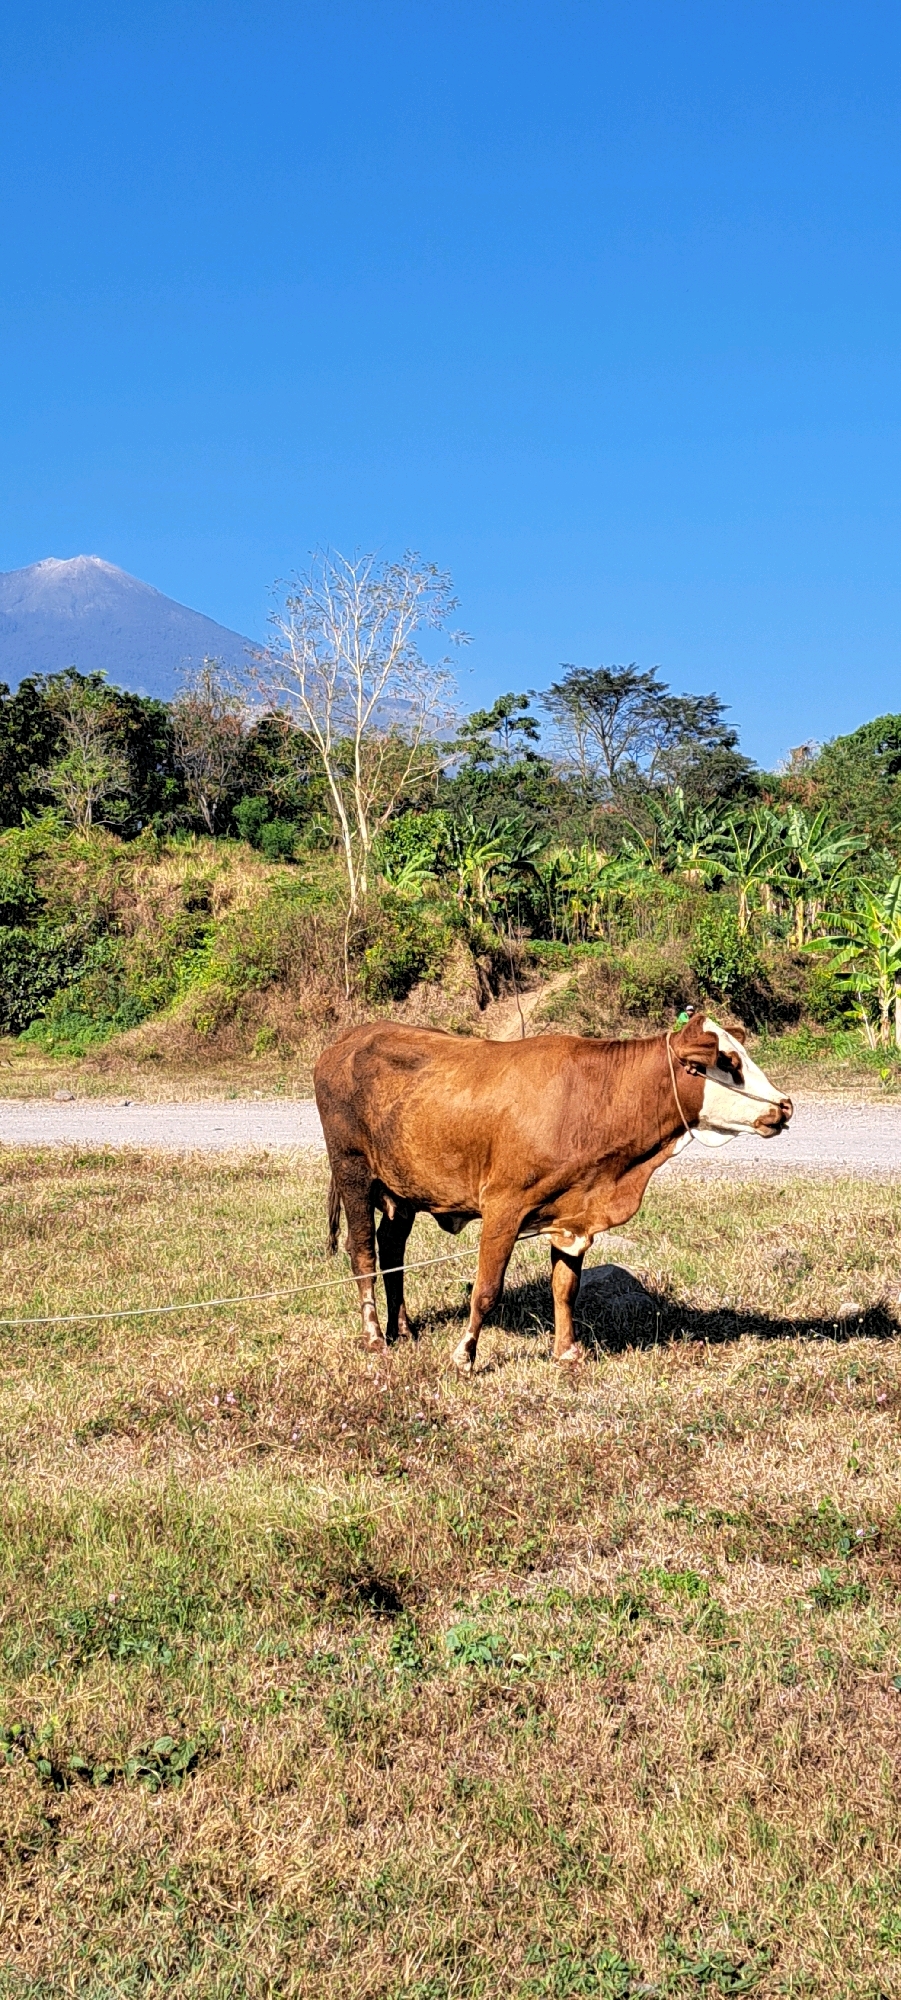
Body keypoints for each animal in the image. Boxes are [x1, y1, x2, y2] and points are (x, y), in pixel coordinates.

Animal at [313, 1014, 792, 1372]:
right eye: (728, 1061)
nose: (785, 1105)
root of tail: (346, 1041)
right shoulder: (503, 1206)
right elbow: (486, 1289)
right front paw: (464, 1357)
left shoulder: (574, 1218)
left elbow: (565, 1287)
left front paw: (566, 1351)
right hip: (353, 1170)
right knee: (363, 1252)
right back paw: (375, 1336)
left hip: (403, 1189)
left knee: (392, 1248)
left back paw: (405, 1328)